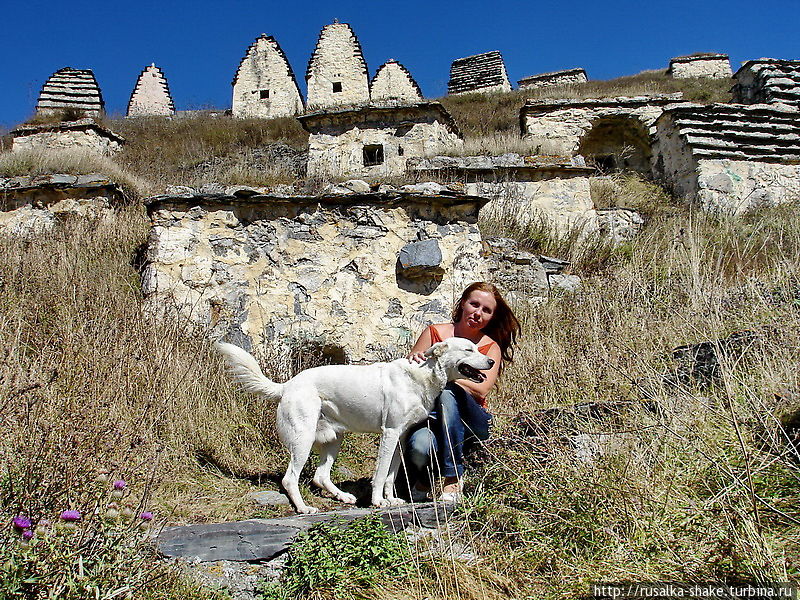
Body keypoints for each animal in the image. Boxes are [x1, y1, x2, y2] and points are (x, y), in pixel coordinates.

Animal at [219, 340, 494, 512]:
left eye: (478, 348)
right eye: (469, 349)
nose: (491, 361)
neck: (423, 375)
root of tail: (287, 385)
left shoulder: (400, 437)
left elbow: (391, 474)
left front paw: (391, 500)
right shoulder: (389, 433)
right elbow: (381, 473)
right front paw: (378, 502)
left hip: (333, 439)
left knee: (320, 475)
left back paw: (343, 496)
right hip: (303, 439)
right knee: (290, 479)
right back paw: (304, 508)